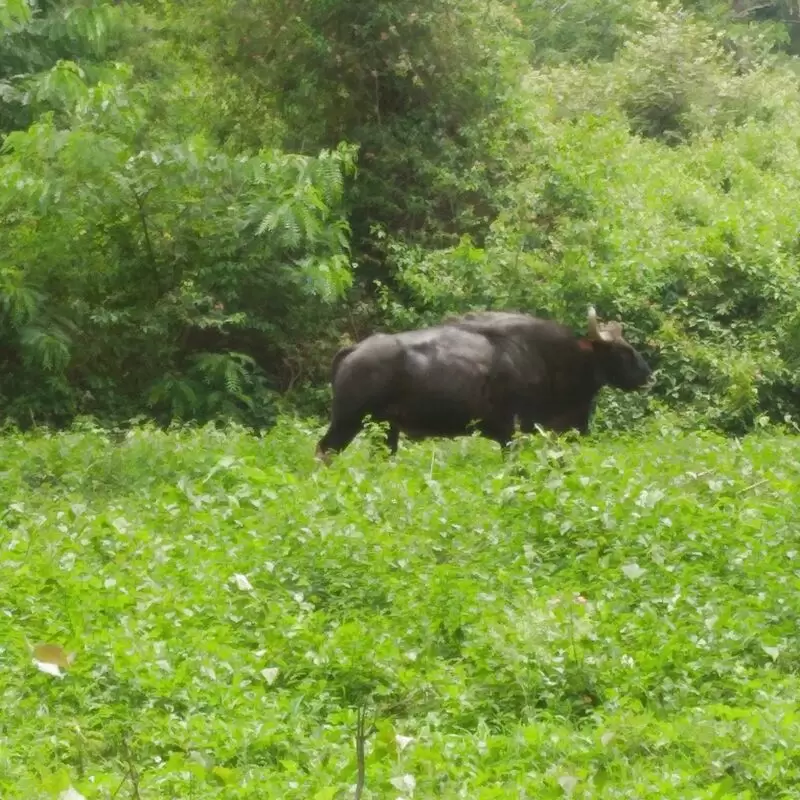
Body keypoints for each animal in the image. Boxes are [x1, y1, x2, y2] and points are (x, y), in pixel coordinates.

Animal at [316, 306, 652, 460]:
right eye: (622, 351)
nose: (648, 375)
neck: (549, 359)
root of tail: (353, 351)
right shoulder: (511, 435)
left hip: (385, 430)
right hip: (347, 422)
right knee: (324, 451)